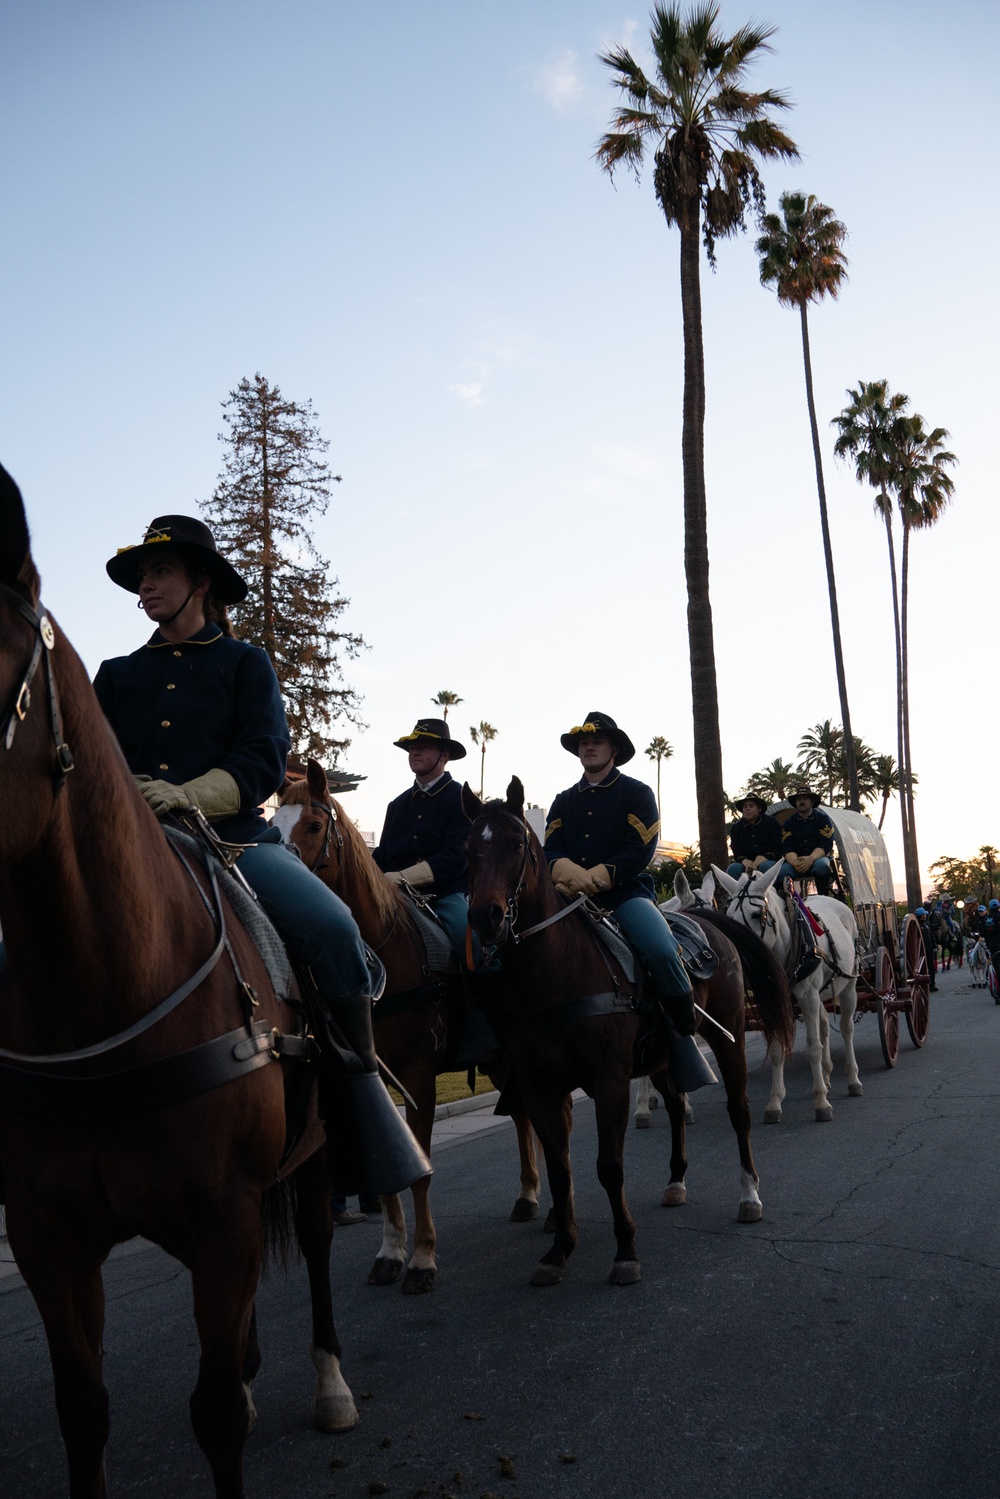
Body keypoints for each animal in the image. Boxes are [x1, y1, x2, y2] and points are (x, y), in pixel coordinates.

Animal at [0, 470, 355, 1499]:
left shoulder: (226, 1218)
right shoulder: (47, 1237)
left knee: (319, 1247)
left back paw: (330, 1383)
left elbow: (216, 1416)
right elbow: (84, 1412)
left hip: (316, 1155)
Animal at [271, 761, 539, 1289]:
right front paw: (391, 1252)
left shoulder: (418, 1077)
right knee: (520, 1114)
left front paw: (422, 1258)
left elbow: (421, 1170)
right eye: (273, 825)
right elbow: (388, 1167)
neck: (377, 960)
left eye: (313, 825)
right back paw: (526, 1196)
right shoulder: (374, 1075)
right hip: (498, 1059)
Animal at [461, 779, 797, 1283]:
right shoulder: (540, 1088)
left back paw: (749, 1195)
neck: (555, 973)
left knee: (739, 1111)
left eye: (516, 843)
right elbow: (560, 1169)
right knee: (676, 1107)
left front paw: (625, 1250)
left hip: (730, 1037)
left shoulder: (610, 1082)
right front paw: (558, 1250)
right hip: (664, 1053)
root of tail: (707, 920)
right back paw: (676, 1181)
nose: (487, 917)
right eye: (468, 848)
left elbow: (610, 1166)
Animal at [710, 857, 863, 1127]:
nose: (742, 964)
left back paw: (852, 1079)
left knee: (846, 1028)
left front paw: (821, 1102)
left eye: (756, 915)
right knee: (824, 1025)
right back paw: (826, 1075)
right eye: (729, 917)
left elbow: (813, 1047)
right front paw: (774, 1104)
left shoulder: (808, 997)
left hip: (848, 985)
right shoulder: (771, 1002)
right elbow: (776, 1051)